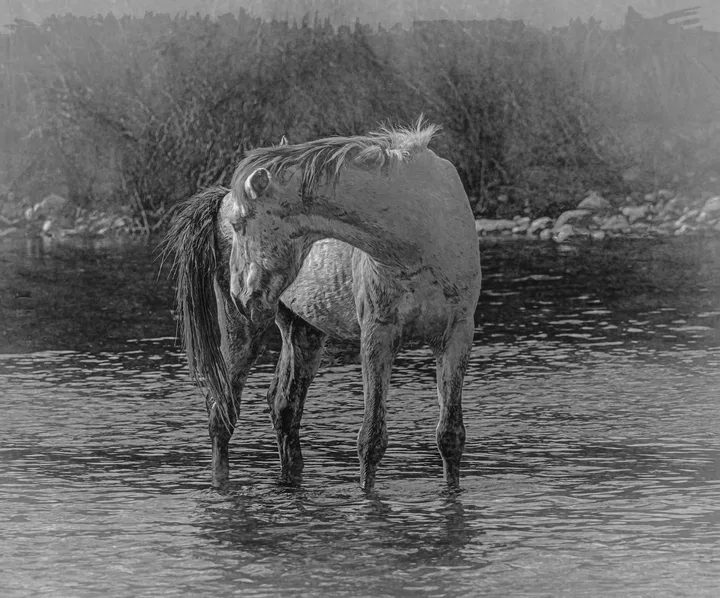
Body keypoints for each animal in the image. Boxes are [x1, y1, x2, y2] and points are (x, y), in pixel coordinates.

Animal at [163, 120, 482, 491]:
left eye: (240, 224)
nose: (241, 295)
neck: (419, 233)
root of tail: (221, 199)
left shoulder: (457, 335)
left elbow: (450, 436)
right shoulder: (377, 335)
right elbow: (372, 440)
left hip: (302, 331)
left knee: (284, 408)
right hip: (242, 333)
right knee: (222, 414)